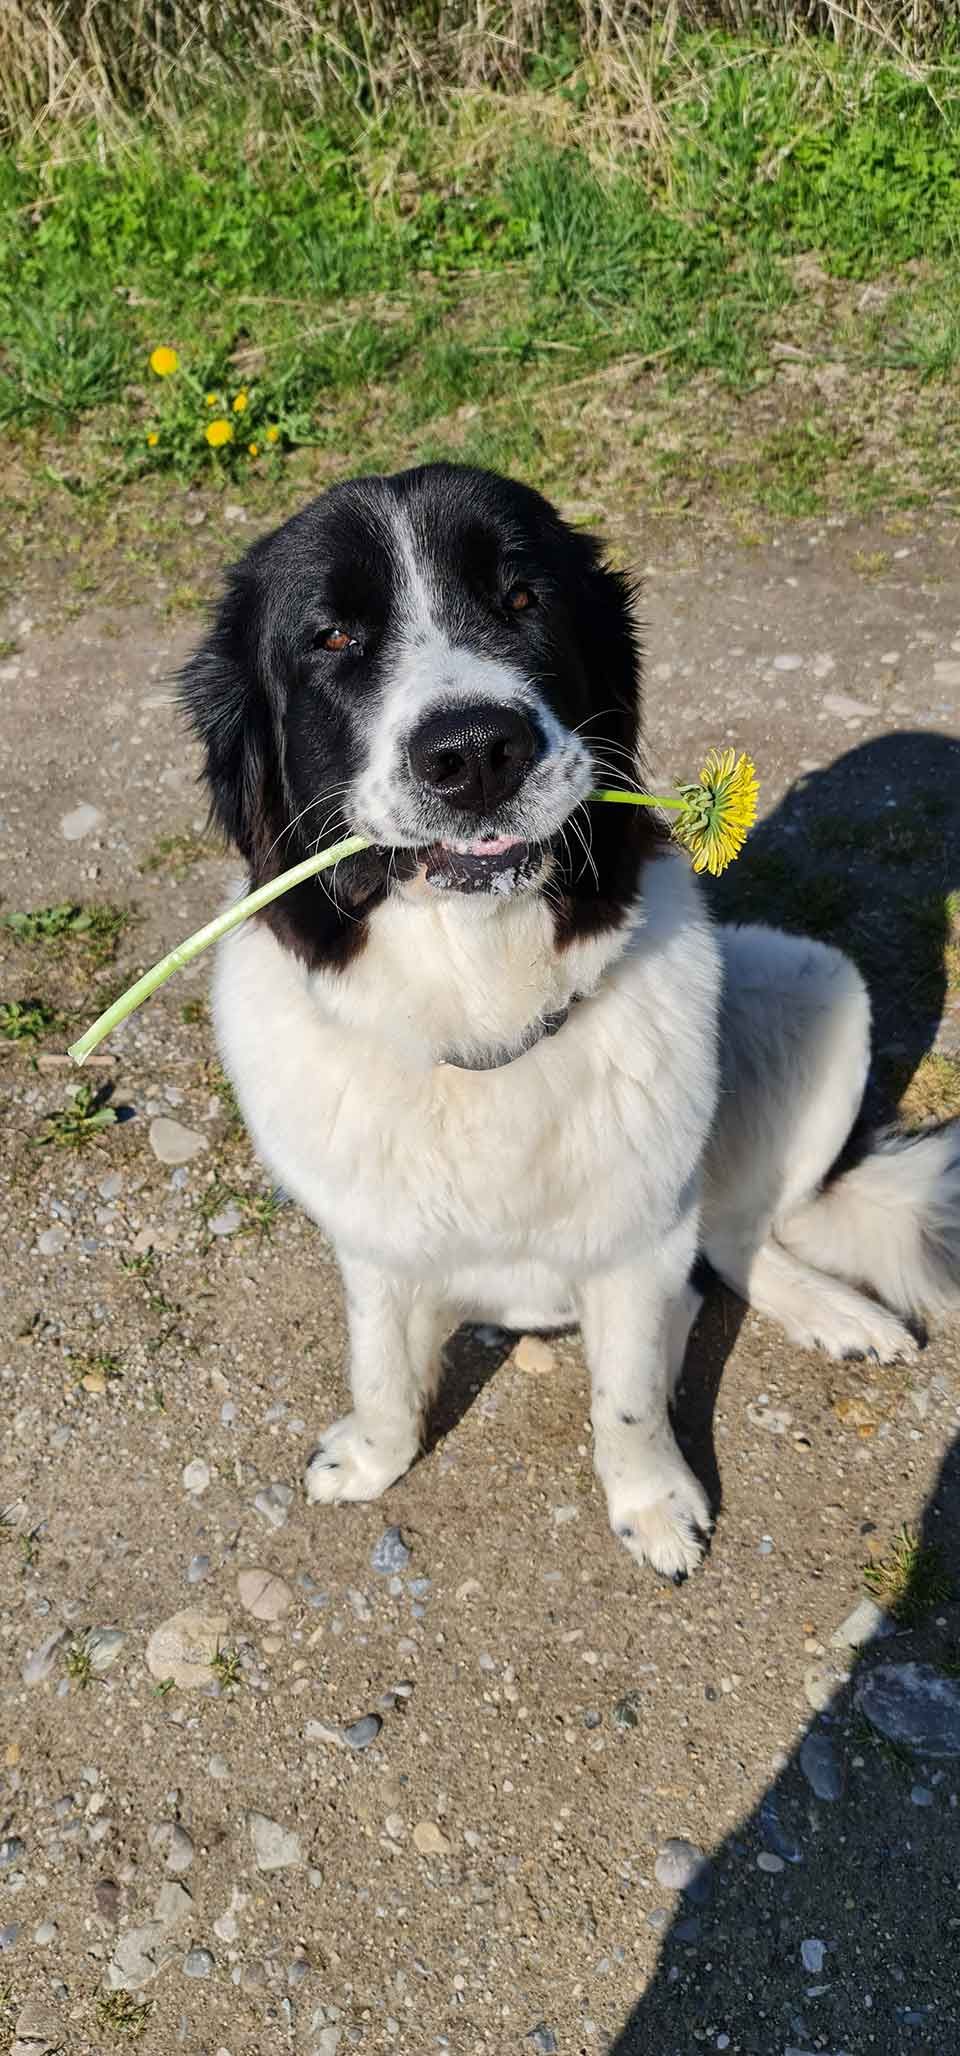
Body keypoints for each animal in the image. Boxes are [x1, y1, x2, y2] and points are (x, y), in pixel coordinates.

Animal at [180, 462, 960, 1580]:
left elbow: (626, 1397)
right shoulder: (370, 1241)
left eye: (523, 598)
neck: (478, 1024)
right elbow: (377, 1362)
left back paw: (839, 1315)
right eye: (331, 637)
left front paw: (654, 1505)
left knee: (734, 1238)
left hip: (808, 982)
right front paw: (373, 1458)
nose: (474, 751)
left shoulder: (638, 1241)